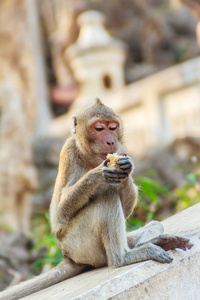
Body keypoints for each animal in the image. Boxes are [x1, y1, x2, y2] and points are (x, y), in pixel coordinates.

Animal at [0, 98, 194, 300]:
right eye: (99, 128)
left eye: (113, 127)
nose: (110, 140)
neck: (89, 157)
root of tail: (68, 256)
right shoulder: (68, 151)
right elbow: (60, 213)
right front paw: (97, 174)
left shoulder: (121, 148)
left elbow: (126, 210)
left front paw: (126, 167)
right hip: (80, 246)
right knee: (107, 197)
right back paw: (122, 257)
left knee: (154, 225)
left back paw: (157, 242)